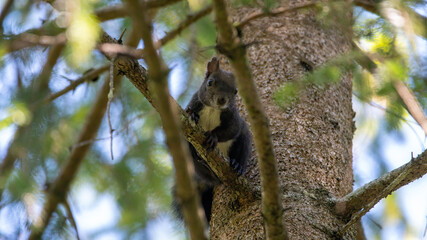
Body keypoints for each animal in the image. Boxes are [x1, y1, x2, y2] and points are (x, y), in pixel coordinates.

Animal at [175, 56, 254, 225]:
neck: (213, 109)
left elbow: (231, 130)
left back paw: (236, 165)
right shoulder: (193, 104)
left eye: (235, 91)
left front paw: (213, 136)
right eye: (210, 82)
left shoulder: (233, 119)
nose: (222, 100)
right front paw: (193, 116)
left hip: (244, 140)